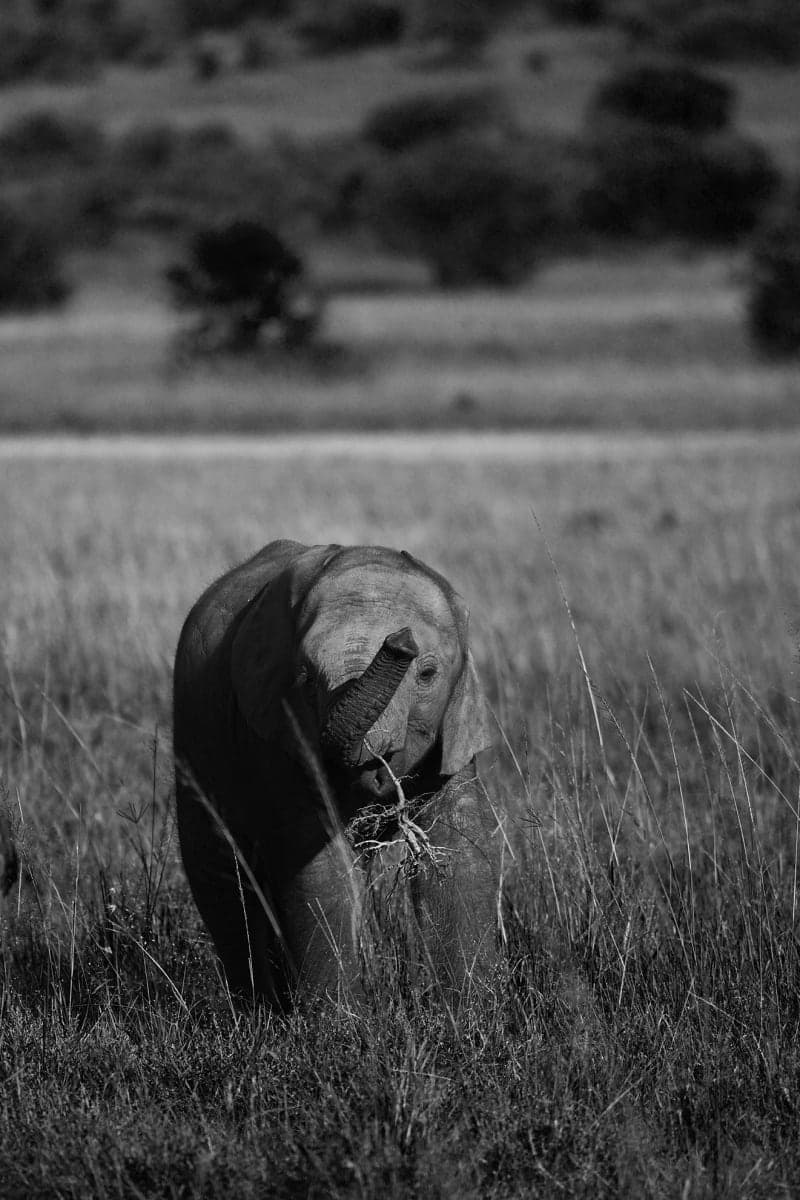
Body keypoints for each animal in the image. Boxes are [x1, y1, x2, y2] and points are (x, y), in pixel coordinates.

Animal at [173, 539, 498, 1010]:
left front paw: (476, 1011)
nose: (400, 641)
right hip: (195, 730)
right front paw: (341, 1022)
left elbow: (461, 856)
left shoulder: (453, 729)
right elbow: (320, 871)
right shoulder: (276, 731)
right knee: (222, 873)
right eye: (306, 679)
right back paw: (257, 1013)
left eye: (427, 674)